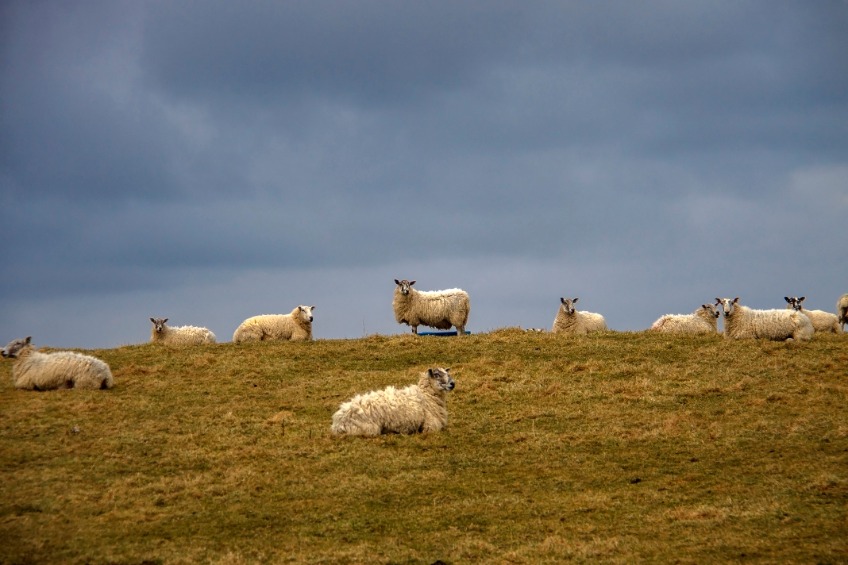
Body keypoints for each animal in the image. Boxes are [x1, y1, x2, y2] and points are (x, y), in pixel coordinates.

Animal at [330, 366, 458, 436]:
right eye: (437, 375)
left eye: (447, 373)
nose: (453, 384)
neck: (425, 396)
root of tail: (338, 423)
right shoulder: (430, 426)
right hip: (370, 428)